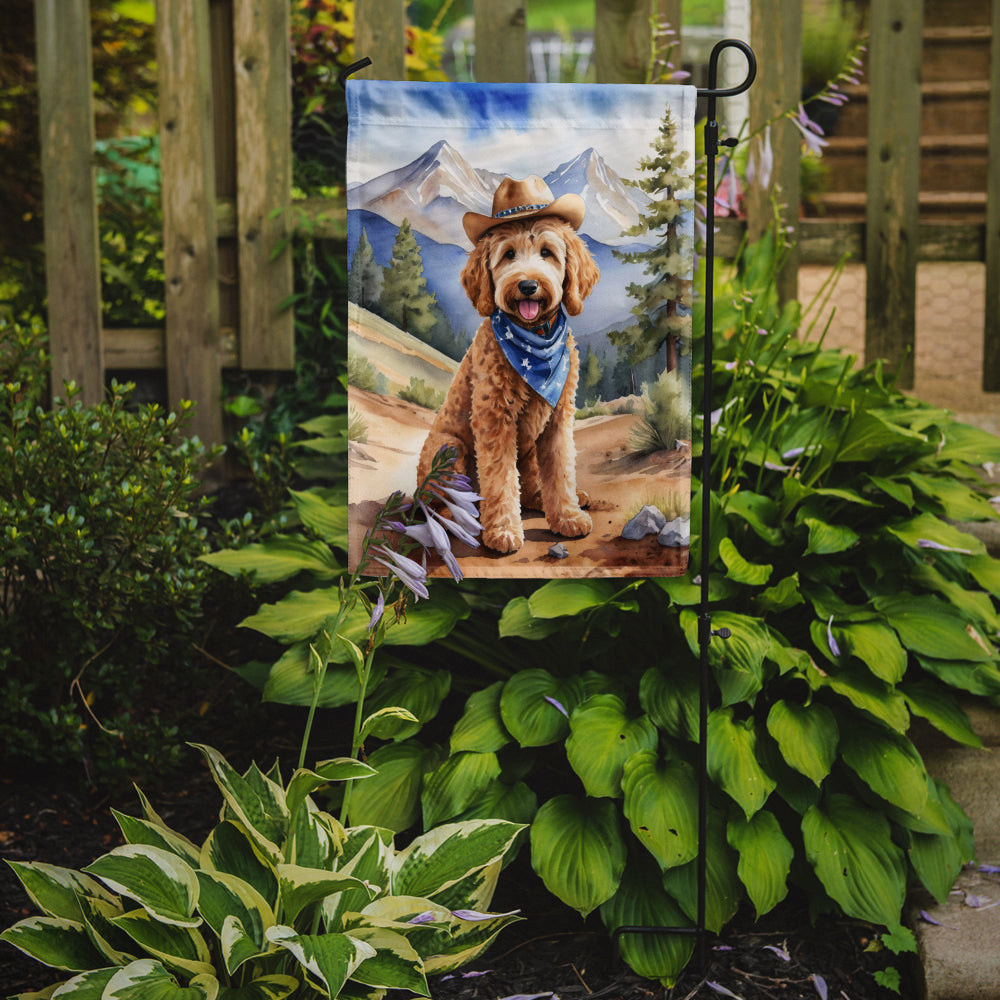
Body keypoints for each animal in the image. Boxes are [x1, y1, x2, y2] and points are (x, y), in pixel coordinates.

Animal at [416, 179, 596, 556]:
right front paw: (503, 531)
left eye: (547, 252)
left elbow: (560, 469)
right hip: (449, 449)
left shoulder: (558, 418)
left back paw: (555, 499)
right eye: (509, 254)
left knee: (529, 488)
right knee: (443, 504)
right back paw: (467, 518)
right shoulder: (494, 417)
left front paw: (567, 515)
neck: (535, 337)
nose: (528, 285)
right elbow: (499, 478)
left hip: (526, 450)